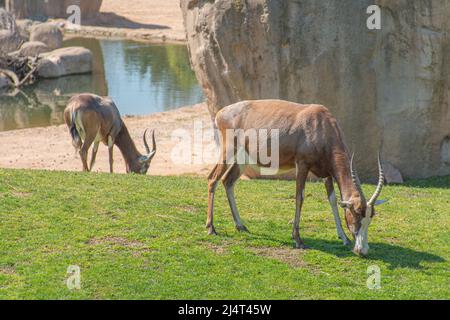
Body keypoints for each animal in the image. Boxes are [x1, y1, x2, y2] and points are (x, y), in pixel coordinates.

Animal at [207, 99, 386, 256]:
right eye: (356, 214)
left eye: (370, 217)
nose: (363, 250)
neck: (320, 123)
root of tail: (221, 113)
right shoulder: (302, 165)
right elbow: (300, 198)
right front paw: (298, 239)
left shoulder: (326, 173)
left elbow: (333, 200)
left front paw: (344, 238)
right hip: (228, 151)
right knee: (212, 179)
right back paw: (211, 228)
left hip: (243, 158)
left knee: (228, 181)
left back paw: (241, 226)